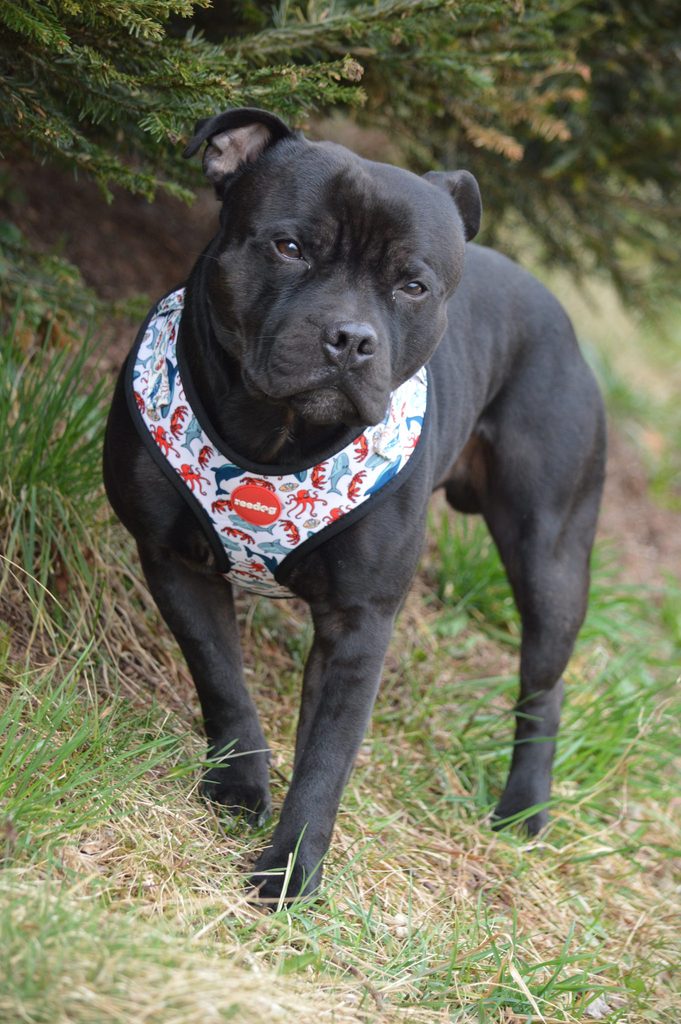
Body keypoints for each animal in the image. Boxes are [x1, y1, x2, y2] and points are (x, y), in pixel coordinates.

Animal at [104, 107, 606, 901]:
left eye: (412, 286)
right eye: (289, 247)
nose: (350, 338)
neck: (273, 439)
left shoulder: (359, 622)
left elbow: (326, 758)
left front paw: (291, 868)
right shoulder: (172, 561)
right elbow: (222, 680)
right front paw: (239, 788)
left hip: (550, 556)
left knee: (543, 683)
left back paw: (523, 808)